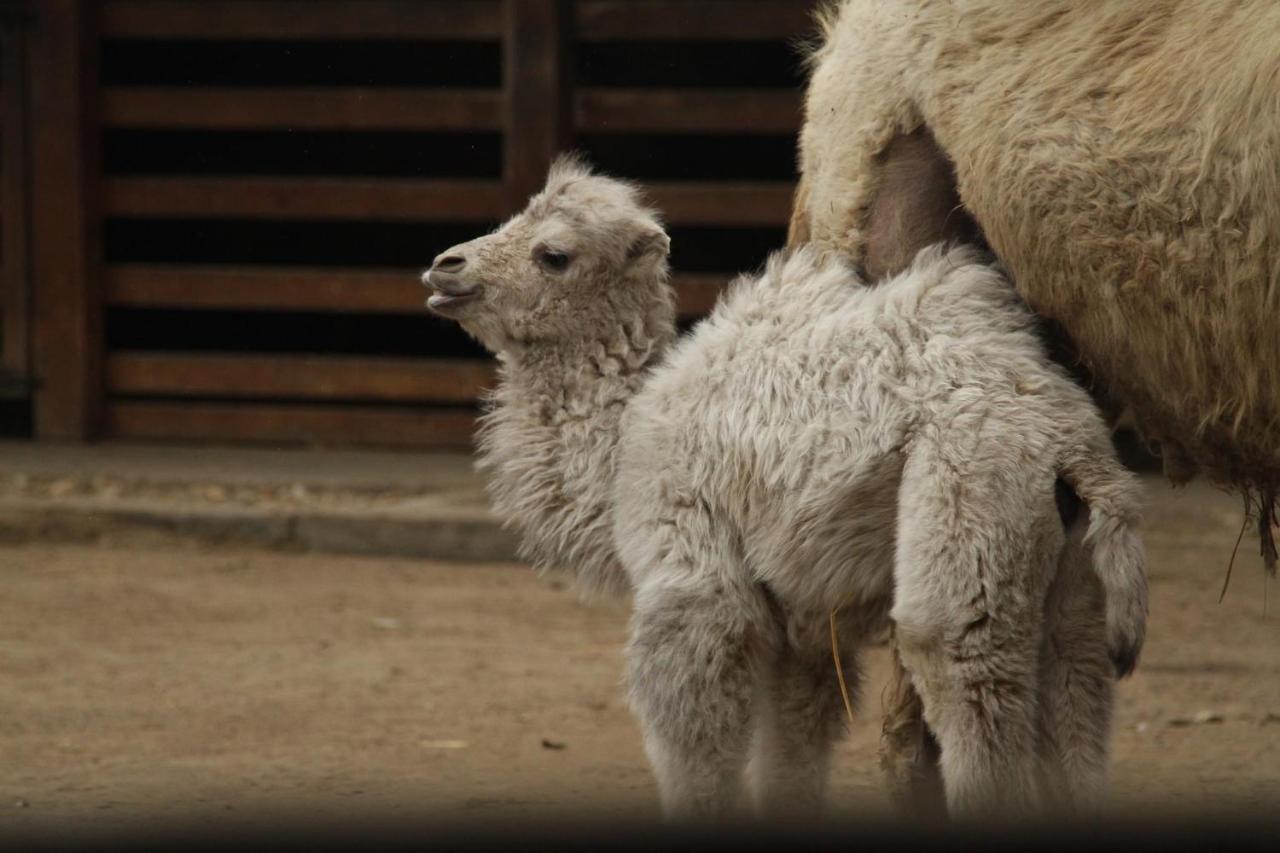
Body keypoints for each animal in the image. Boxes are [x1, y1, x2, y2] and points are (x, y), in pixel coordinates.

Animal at [422, 157, 1152, 819]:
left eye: (554, 255)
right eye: (511, 218)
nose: (444, 267)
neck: (623, 440)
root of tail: (1071, 444)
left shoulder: (694, 581)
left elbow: (694, 743)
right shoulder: (802, 621)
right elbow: (793, 746)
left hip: (968, 500)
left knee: (963, 678)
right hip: (1071, 574)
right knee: (1077, 699)